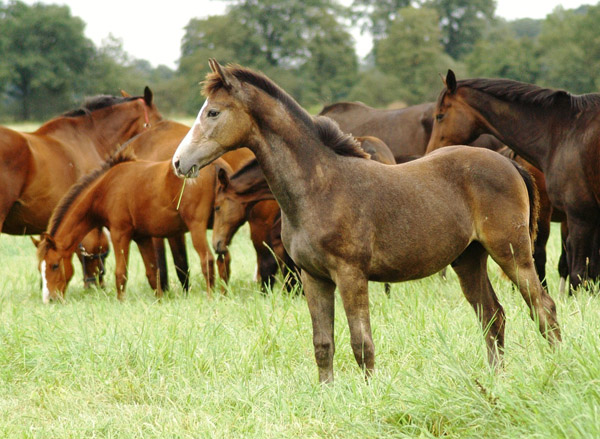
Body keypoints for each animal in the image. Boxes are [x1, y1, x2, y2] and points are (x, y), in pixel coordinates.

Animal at [35, 151, 230, 302]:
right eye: (39, 269)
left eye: (54, 265)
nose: (49, 299)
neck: (106, 187)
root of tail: (215, 165)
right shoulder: (142, 237)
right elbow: (152, 273)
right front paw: (159, 301)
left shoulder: (119, 234)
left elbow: (121, 273)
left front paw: (120, 302)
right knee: (224, 258)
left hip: (197, 228)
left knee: (207, 260)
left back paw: (210, 297)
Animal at [173, 60, 564, 384]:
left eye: (213, 112)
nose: (179, 162)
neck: (319, 186)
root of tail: (508, 163)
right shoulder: (313, 277)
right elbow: (322, 344)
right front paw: (326, 395)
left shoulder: (350, 275)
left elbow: (362, 344)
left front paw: (369, 396)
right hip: (468, 259)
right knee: (493, 316)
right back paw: (498, 379)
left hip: (512, 253)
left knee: (542, 307)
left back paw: (556, 367)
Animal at [426, 71, 600, 292]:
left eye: (440, 115)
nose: (430, 152)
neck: (565, 131)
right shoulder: (584, 218)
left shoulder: (581, 216)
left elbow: (580, 271)